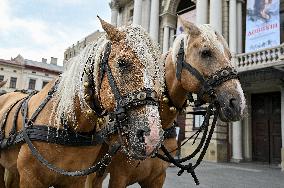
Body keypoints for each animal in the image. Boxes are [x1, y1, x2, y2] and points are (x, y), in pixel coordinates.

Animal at [0, 18, 164, 188]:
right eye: (122, 62)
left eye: (158, 71)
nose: (152, 137)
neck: (65, 127)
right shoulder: (30, 178)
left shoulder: (76, 180)